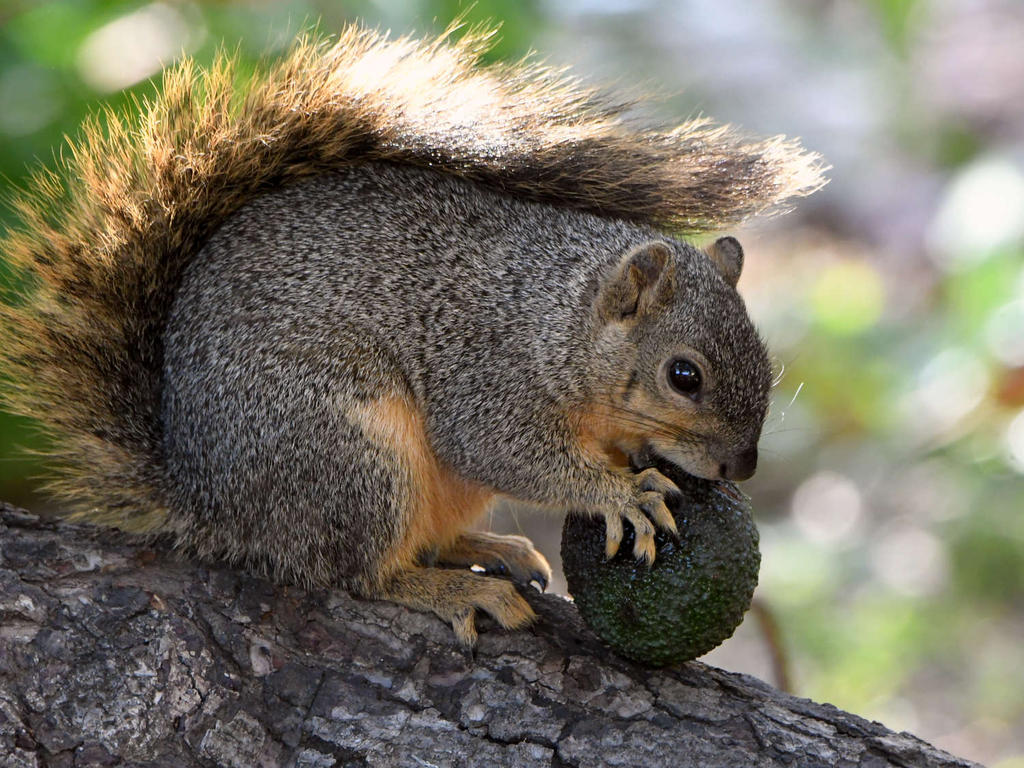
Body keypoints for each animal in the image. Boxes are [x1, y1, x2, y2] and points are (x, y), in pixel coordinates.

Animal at [0, 25, 825, 645]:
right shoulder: (488, 375)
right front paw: (620, 493)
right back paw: (449, 591)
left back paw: (486, 548)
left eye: (765, 362)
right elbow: (502, 448)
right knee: (360, 573)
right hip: (347, 456)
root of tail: (209, 499)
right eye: (683, 376)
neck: (555, 319)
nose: (743, 467)